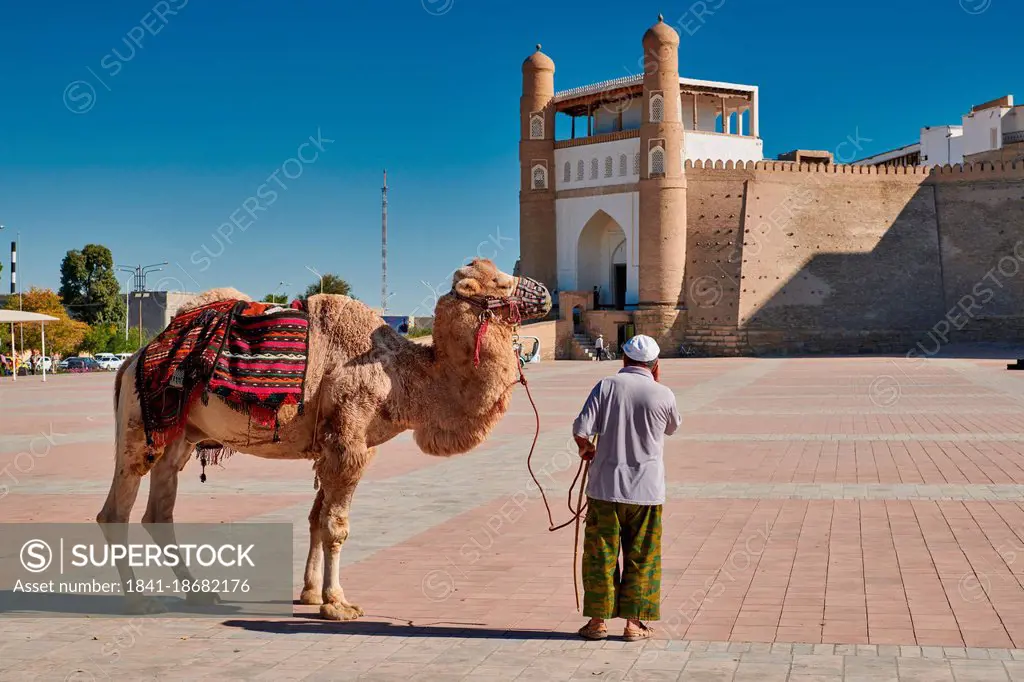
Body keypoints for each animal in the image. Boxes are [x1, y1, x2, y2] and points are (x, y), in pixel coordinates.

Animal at [96, 258, 552, 618]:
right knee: (116, 510)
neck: (403, 376)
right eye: (503, 282)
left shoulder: (333, 446)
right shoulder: (349, 441)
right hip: (139, 425)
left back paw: (200, 596)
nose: (546, 293)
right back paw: (139, 601)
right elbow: (336, 525)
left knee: (159, 511)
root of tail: (133, 359)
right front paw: (338, 603)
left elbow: (317, 518)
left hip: (179, 436)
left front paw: (311, 593)